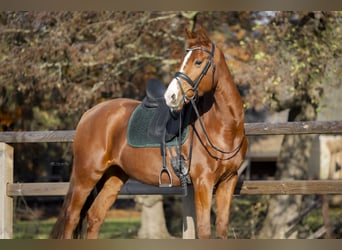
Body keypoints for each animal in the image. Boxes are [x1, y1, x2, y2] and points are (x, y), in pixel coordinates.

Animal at [50, 26, 246, 238]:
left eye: (198, 61)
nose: (171, 96)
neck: (224, 128)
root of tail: (89, 114)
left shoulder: (228, 181)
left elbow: (222, 227)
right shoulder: (203, 183)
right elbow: (204, 230)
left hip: (113, 177)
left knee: (95, 217)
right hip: (86, 176)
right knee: (72, 217)